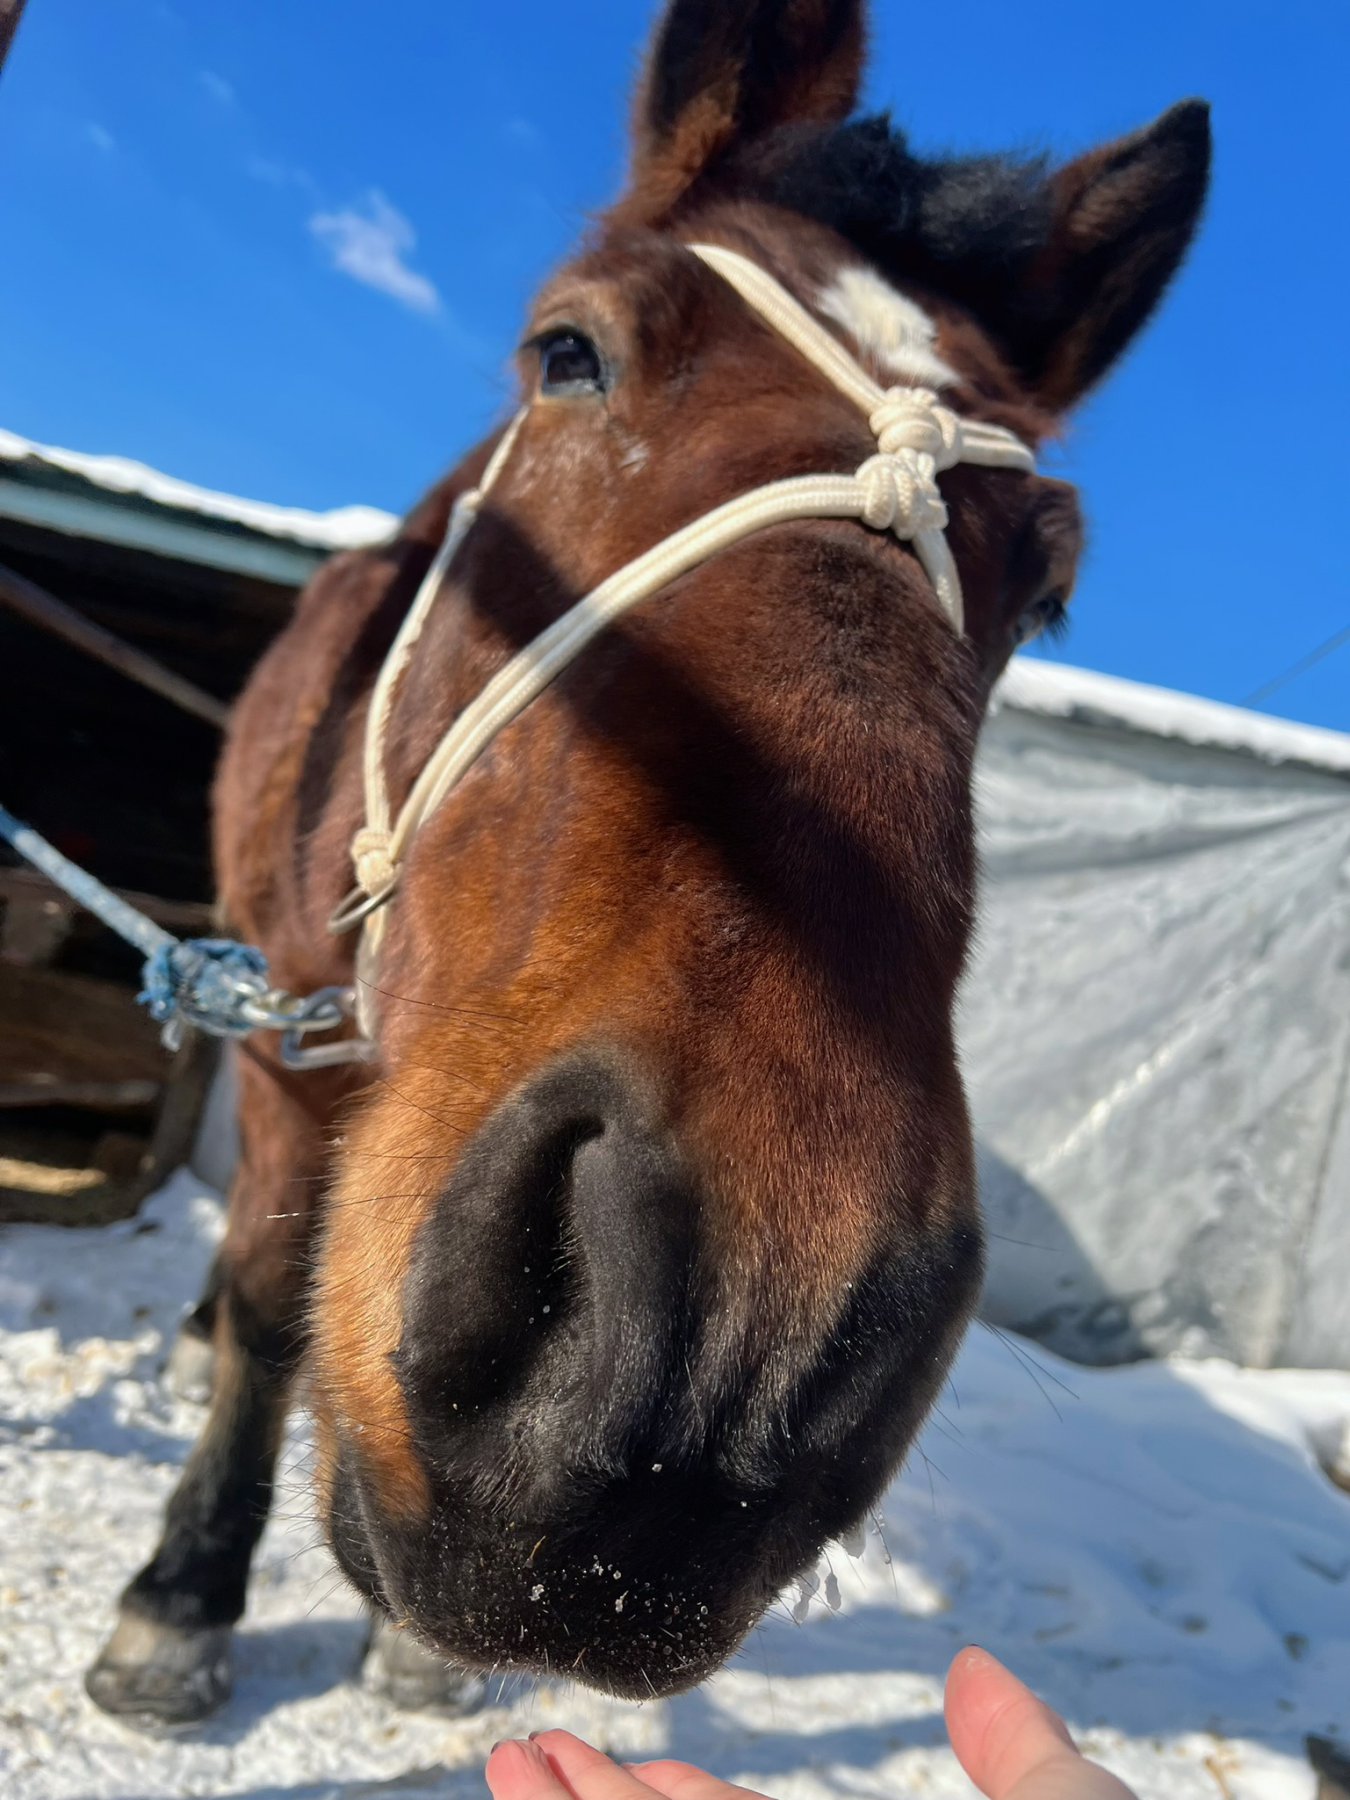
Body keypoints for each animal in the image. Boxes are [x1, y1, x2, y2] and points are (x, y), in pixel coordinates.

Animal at [84, 0, 1209, 1728]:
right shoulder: (280, 1035)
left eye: (1050, 587)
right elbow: (274, 1294)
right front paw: (182, 1595)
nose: (711, 1339)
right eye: (569, 352)